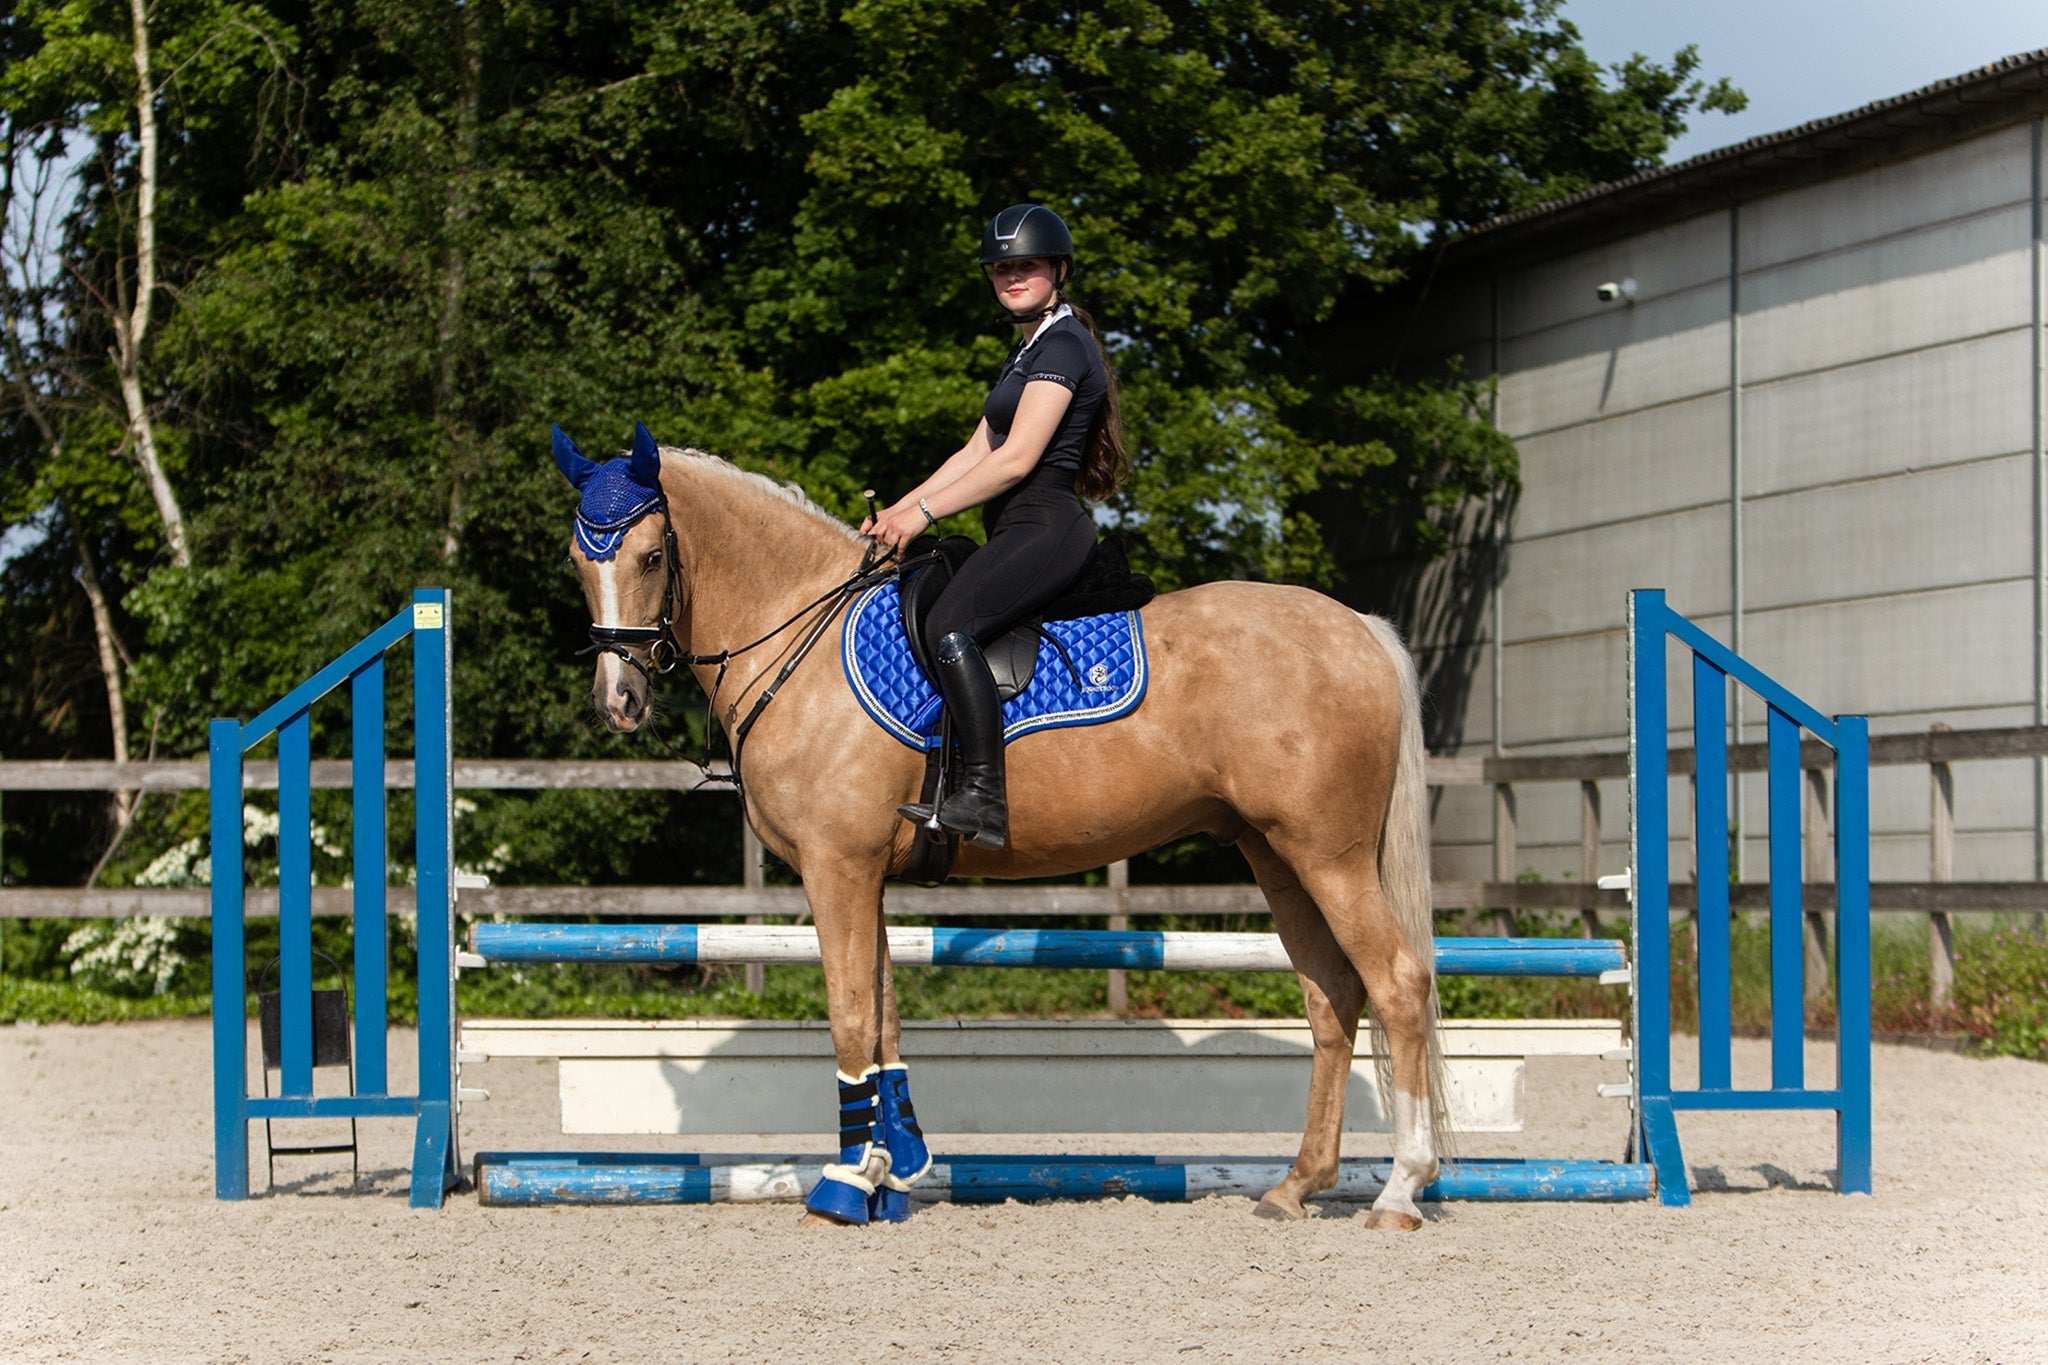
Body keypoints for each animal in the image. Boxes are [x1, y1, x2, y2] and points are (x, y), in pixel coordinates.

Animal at [552, 423, 1449, 1227]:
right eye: (576, 560)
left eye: (652, 556)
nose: (618, 701)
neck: (798, 631)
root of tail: (1360, 627)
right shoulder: (866, 873)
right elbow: (884, 1010)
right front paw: (894, 1170)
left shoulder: (836, 865)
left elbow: (849, 1011)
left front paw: (844, 1185)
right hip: (1276, 854)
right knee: (1333, 996)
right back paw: (1296, 1184)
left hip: (1328, 855)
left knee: (1397, 982)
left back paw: (1400, 1190)